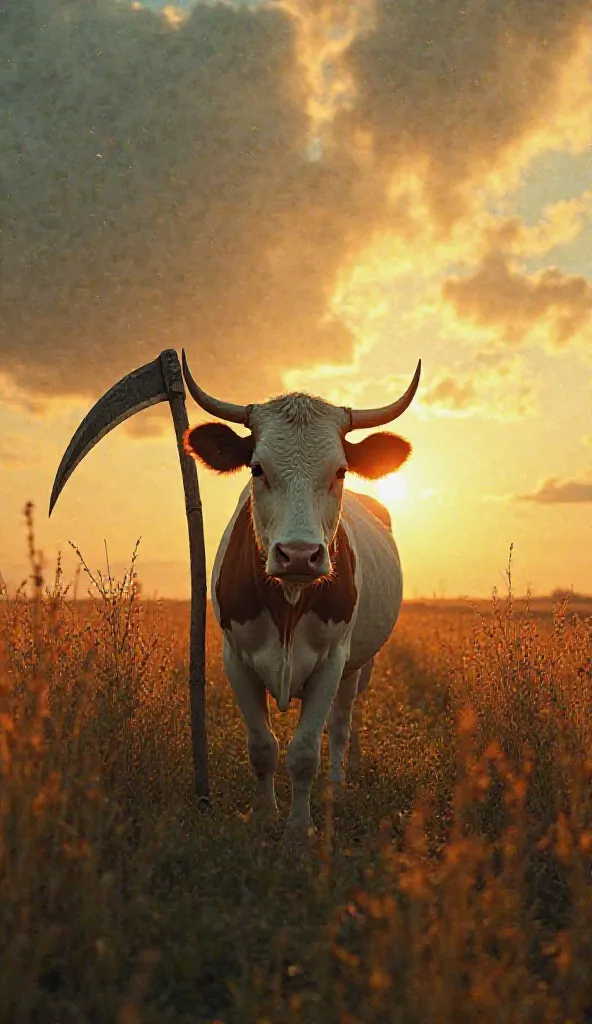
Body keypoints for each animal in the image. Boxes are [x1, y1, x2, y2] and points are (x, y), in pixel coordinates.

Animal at [182, 352, 417, 831]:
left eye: (340, 471)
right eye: (257, 468)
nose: (298, 555)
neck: (288, 604)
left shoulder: (333, 661)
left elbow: (307, 751)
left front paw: (299, 826)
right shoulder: (235, 659)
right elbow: (262, 747)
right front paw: (266, 815)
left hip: (357, 666)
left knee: (342, 726)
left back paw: (338, 788)